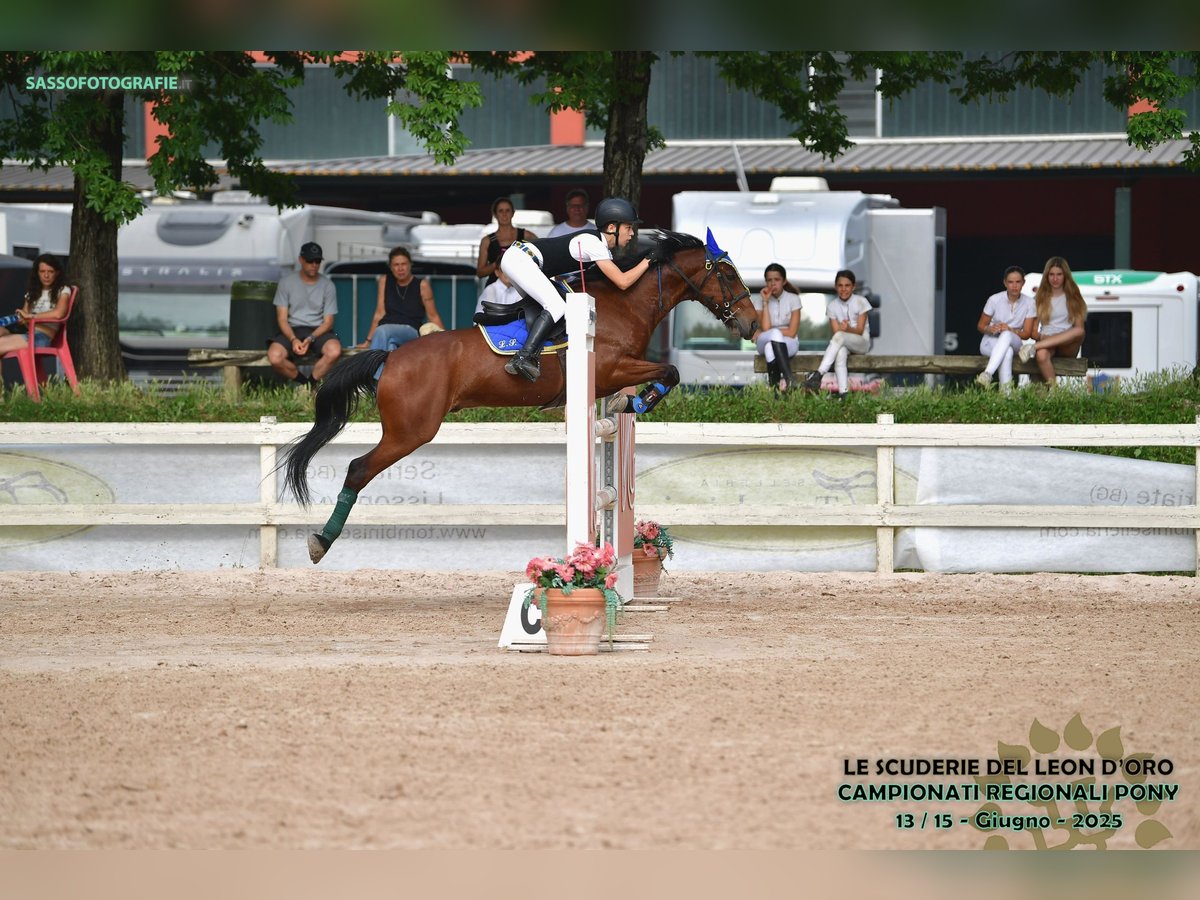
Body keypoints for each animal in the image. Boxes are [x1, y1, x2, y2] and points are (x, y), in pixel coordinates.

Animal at [282, 230, 759, 564]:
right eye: (727, 273)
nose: (753, 325)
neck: (625, 304)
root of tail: (391, 357)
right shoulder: (609, 368)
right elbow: (670, 371)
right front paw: (638, 402)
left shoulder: (611, 375)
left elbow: (663, 375)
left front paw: (633, 402)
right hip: (410, 431)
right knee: (358, 469)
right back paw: (320, 542)